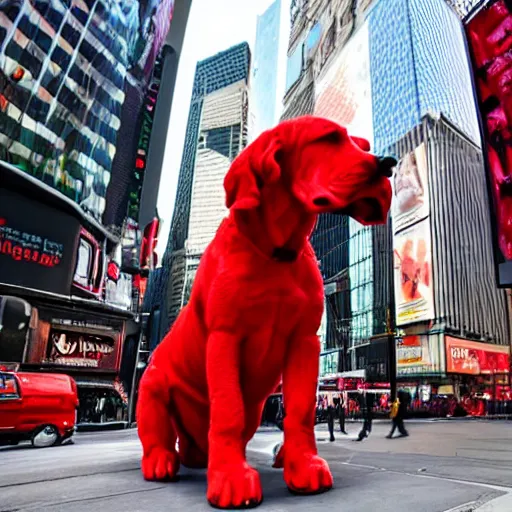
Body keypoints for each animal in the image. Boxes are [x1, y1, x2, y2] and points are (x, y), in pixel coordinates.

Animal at [137, 116, 396, 508]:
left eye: (363, 145)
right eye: (328, 138)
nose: (387, 164)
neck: (276, 252)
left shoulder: (304, 343)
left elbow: (301, 411)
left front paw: (302, 463)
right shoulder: (225, 338)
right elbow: (227, 410)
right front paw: (230, 476)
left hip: (256, 406)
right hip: (152, 385)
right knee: (161, 435)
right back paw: (161, 459)